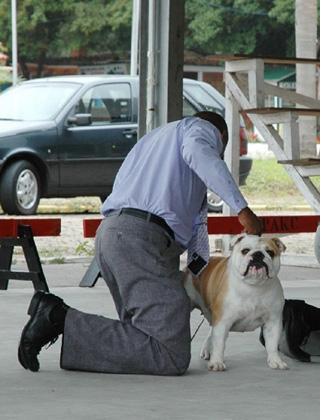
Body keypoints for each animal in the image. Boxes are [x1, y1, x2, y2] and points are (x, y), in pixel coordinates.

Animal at [184, 235, 288, 372]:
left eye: (270, 252)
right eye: (245, 251)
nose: (258, 254)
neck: (254, 287)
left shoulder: (273, 321)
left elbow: (272, 344)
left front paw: (275, 361)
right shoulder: (223, 321)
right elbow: (219, 343)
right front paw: (217, 362)